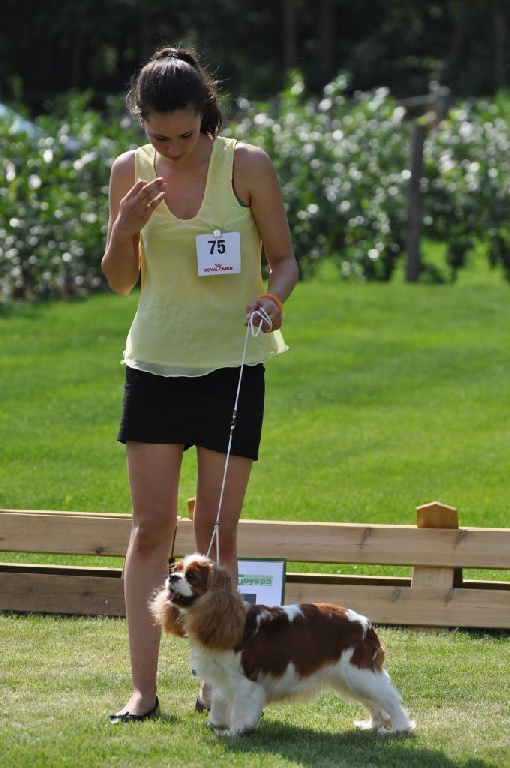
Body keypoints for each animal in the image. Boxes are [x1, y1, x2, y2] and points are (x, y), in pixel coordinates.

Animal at [149, 556, 416, 736]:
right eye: (176, 569)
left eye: (192, 576)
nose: (171, 577)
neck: (223, 616)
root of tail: (366, 623)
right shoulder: (222, 680)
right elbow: (219, 706)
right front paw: (214, 725)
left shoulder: (245, 681)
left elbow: (239, 711)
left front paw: (234, 732)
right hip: (348, 679)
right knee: (373, 703)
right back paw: (372, 725)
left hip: (358, 673)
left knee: (390, 699)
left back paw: (398, 728)